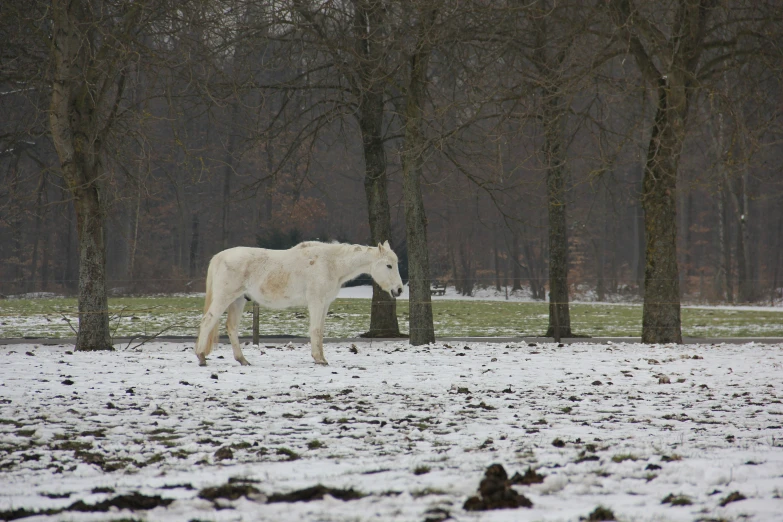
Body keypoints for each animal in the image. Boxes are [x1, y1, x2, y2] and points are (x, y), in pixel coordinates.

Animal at [196, 241, 404, 366]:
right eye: (388, 265)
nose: (399, 290)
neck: (330, 264)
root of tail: (219, 256)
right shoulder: (316, 302)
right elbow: (315, 330)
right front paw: (319, 359)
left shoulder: (324, 304)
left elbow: (320, 331)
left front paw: (322, 357)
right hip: (224, 298)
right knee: (208, 321)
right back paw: (201, 356)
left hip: (238, 300)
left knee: (231, 327)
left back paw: (242, 360)